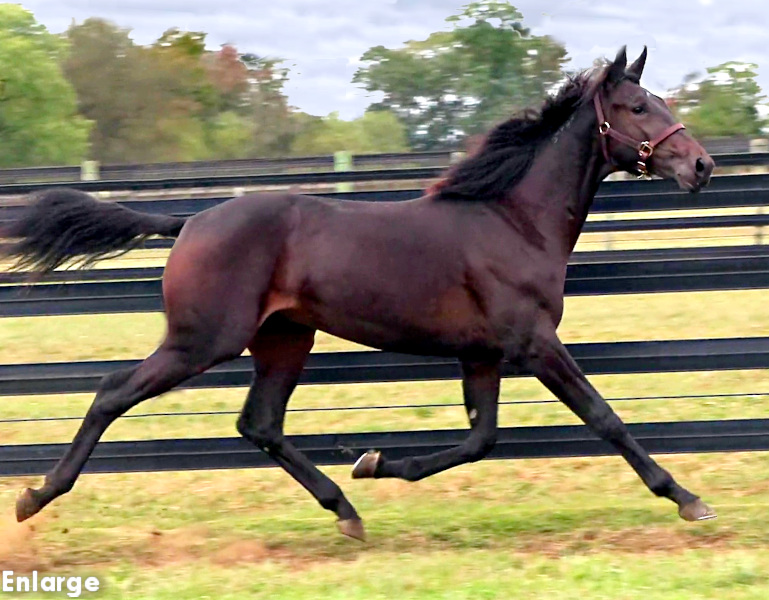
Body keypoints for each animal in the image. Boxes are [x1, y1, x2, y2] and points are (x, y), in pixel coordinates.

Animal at [2, 46, 716, 541]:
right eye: (637, 107)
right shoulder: (534, 344)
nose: (701, 165)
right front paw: (687, 499)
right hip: (203, 339)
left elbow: (480, 440)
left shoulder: (482, 354)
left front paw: (373, 464)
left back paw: (345, 509)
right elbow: (603, 417)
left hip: (284, 339)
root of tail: (192, 221)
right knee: (112, 393)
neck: (512, 219)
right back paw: (36, 496)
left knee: (259, 423)